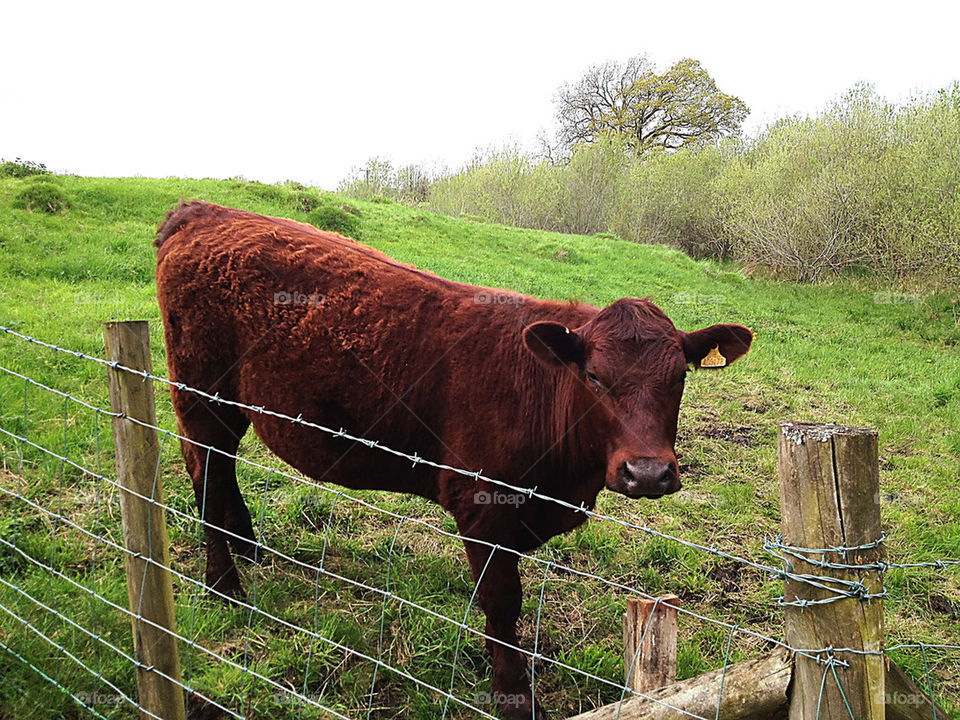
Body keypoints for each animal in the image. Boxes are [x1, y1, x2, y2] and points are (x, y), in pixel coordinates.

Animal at [154, 201, 752, 719]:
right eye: (593, 376)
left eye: (679, 377)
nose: (648, 472)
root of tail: (205, 210)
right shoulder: (481, 504)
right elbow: (503, 603)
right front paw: (514, 698)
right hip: (200, 393)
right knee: (205, 472)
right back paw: (225, 584)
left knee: (221, 470)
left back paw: (248, 548)